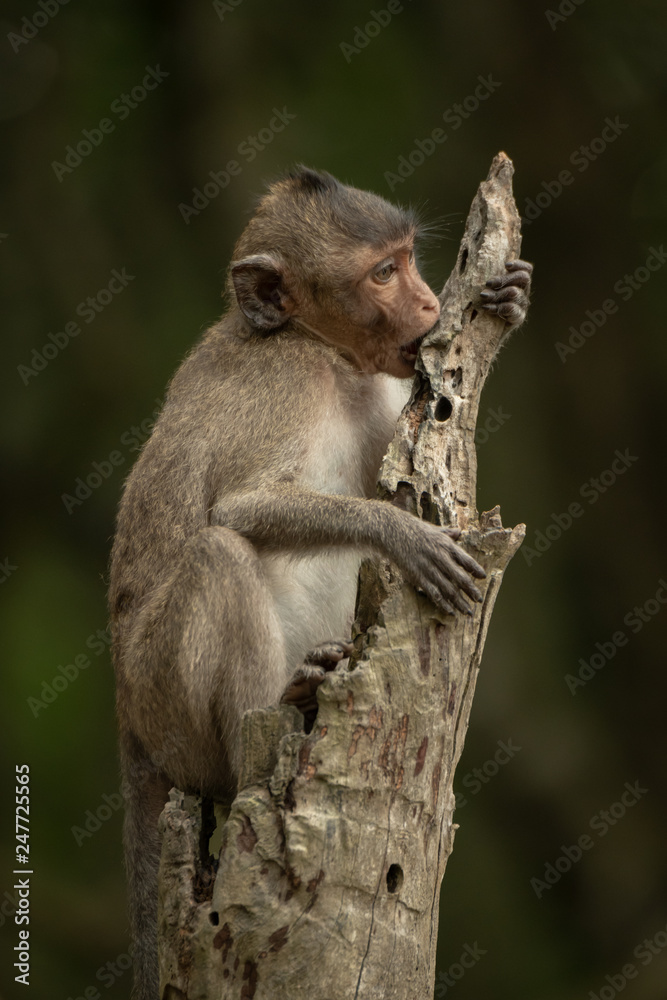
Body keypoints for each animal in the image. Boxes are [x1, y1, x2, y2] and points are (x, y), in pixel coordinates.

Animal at [108, 167, 532, 999]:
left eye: (407, 259)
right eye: (381, 274)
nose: (429, 304)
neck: (317, 347)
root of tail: (127, 721)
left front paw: (503, 299)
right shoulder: (286, 382)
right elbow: (238, 509)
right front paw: (401, 534)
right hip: (160, 699)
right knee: (216, 554)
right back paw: (275, 707)